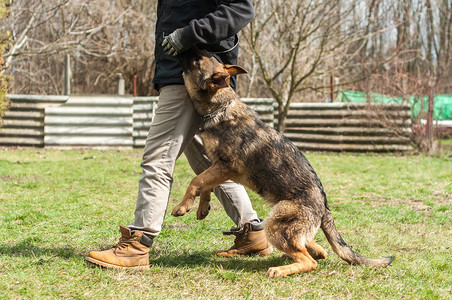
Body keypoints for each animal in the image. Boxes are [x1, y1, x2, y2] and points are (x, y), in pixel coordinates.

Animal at [171, 48, 394, 276]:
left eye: (196, 60)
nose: (174, 46)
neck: (221, 106)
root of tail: (324, 208)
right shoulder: (218, 166)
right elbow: (206, 183)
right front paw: (202, 206)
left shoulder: (226, 166)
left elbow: (197, 180)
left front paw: (182, 206)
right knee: (317, 249)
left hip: (275, 224)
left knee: (309, 260)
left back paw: (280, 269)